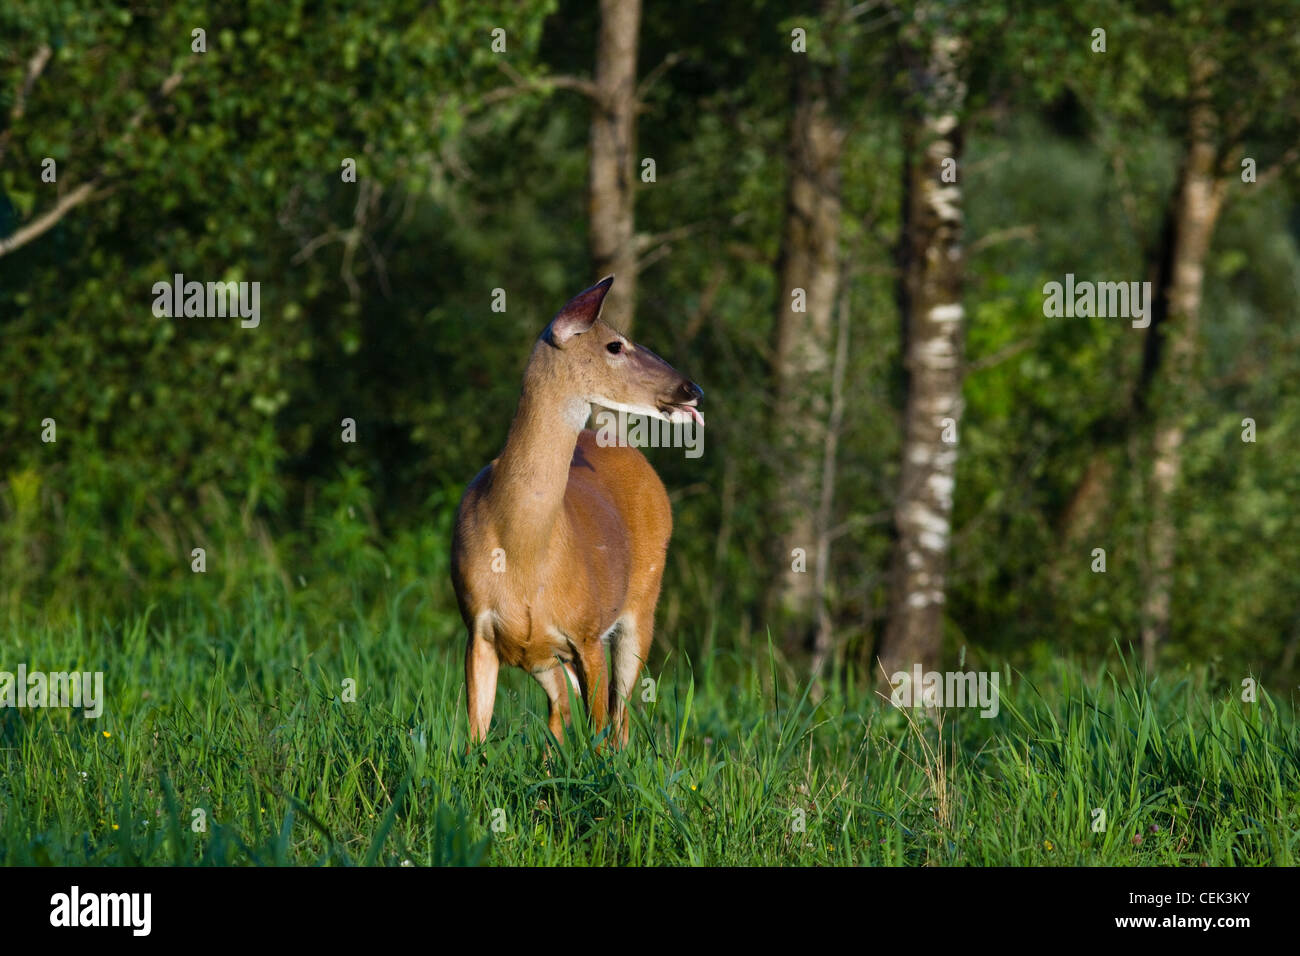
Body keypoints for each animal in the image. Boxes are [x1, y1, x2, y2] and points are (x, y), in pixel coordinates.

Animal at [452, 277, 707, 749]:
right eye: (615, 345)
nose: (692, 390)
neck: (522, 547)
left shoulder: (587, 632)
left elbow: (600, 733)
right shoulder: (478, 630)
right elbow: (475, 738)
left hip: (641, 603)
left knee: (620, 721)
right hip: (543, 657)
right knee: (561, 713)